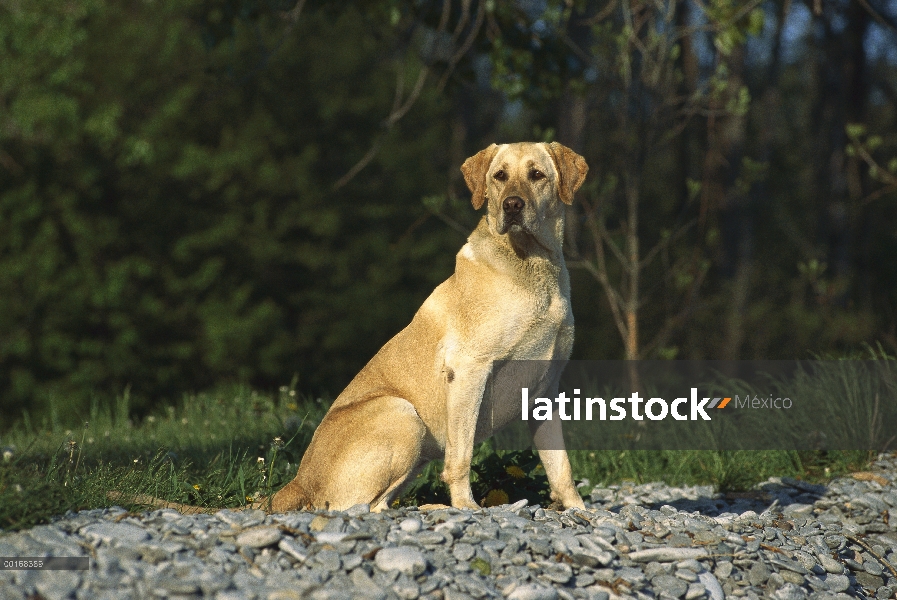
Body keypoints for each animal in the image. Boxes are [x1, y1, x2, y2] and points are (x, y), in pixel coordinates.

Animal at [112, 143, 584, 512]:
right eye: (499, 177)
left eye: (537, 175)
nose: (512, 205)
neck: (530, 266)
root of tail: (297, 481)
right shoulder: (470, 371)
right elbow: (461, 458)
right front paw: (466, 508)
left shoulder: (544, 392)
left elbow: (560, 464)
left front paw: (577, 509)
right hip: (402, 414)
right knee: (360, 508)